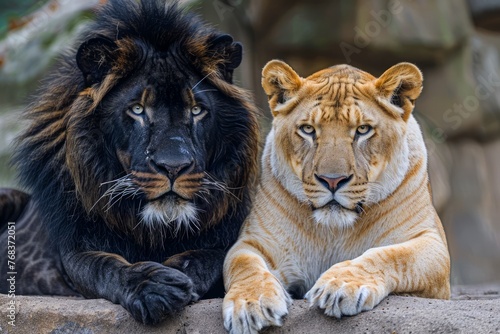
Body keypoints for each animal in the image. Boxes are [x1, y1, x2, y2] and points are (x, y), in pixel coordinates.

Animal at [0, 0, 262, 324]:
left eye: (197, 110)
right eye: (137, 109)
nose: (173, 167)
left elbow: (212, 258)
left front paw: (179, 274)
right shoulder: (75, 250)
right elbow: (107, 268)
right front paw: (155, 287)